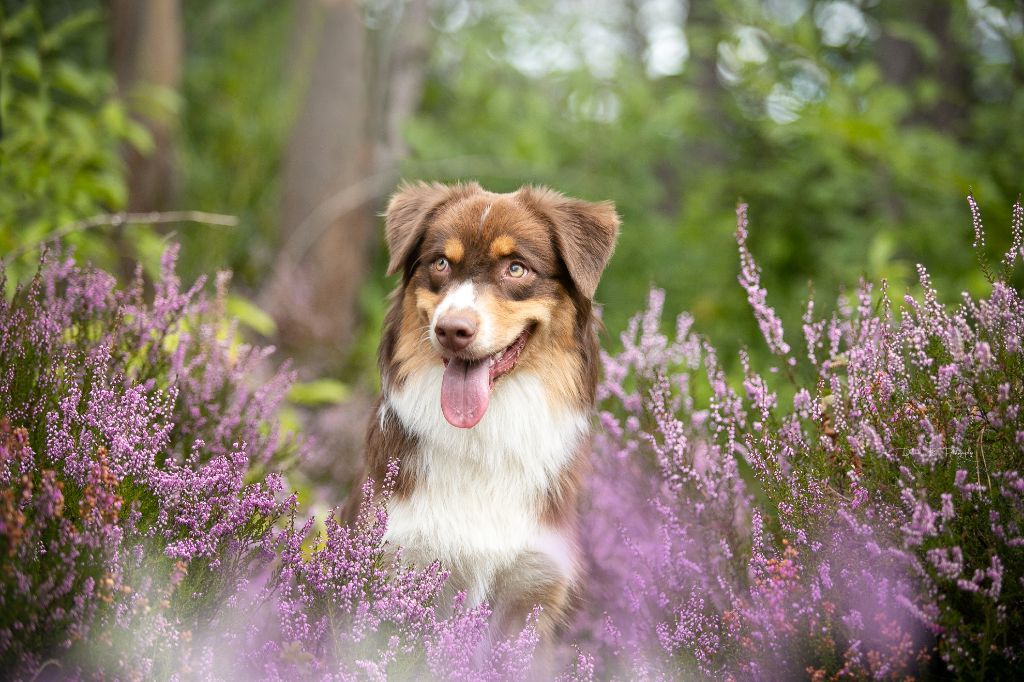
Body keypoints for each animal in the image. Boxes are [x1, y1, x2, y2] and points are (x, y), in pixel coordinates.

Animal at [348, 182, 618, 638]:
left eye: (516, 269)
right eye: (441, 263)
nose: (452, 330)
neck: (484, 436)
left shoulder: (534, 586)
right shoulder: (397, 559)